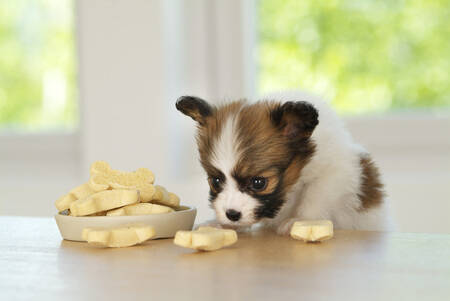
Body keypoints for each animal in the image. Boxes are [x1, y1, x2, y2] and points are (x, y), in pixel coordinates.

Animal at [176, 91, 390, 234]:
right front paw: (221, 224)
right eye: (216, 181)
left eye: (259, 183)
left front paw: (302, 220)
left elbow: (314, 196)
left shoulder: (335, 174)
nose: (232, 214)